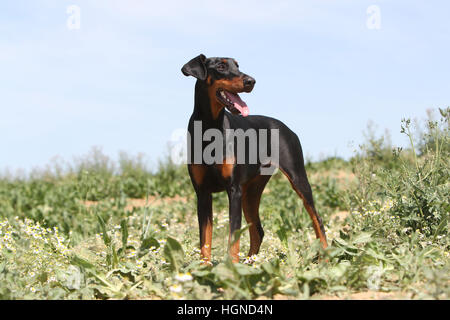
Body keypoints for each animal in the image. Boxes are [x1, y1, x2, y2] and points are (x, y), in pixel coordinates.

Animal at [182, 53, 326, 264]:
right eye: (220, 66)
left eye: (237, 65)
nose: (251, 81)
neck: (210, 127)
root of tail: (287, 128)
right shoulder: (202, 193)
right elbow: (205, 241)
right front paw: (205, 268)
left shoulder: (234, 190)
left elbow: (233, 237)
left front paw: (230, 268)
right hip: (251, 192)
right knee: (258, 230)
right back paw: (251, 263)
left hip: (297, 178)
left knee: (318, 220)